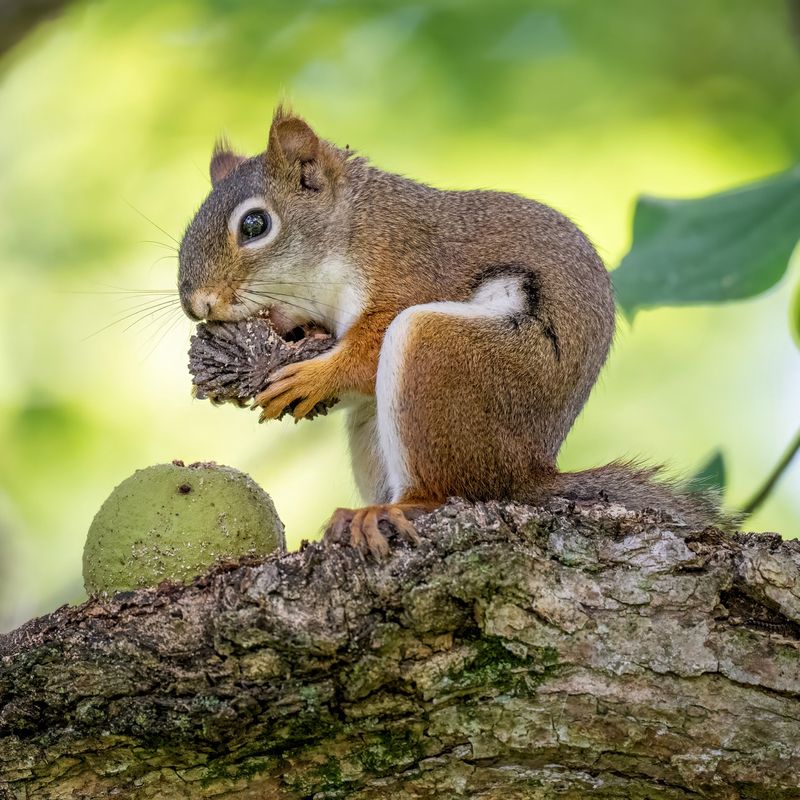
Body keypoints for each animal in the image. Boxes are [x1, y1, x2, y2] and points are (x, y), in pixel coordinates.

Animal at [178, 106, 721, 558]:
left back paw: (392, 509)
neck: (351, 230)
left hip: (442, 352)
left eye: (254, 224)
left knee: (442, 491)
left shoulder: (408, 270)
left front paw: (312, 377)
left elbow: (366, 352)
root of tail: (525, 473)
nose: (196, 304)